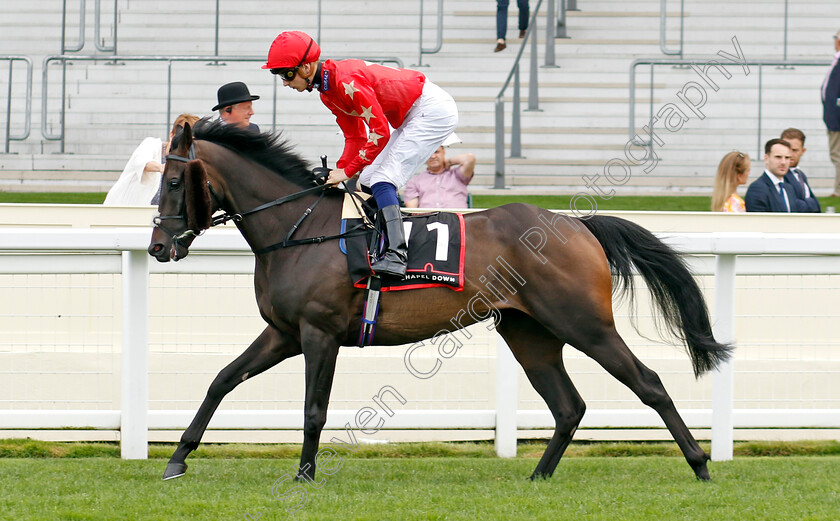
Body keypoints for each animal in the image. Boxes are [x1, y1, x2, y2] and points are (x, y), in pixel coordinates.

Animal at [149, 120, 728, 482]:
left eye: (174, 180)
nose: (157, 246)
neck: (299, 229)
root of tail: (576, 224)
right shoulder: (283, 333)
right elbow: (222, 379)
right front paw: (177, 459)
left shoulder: (319, 334)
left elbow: (314, 409)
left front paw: (305, 475)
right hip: (529, 332)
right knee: (568, 405)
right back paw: (538, 476)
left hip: (584, 324)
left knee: (649, 383)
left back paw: (700, 463)